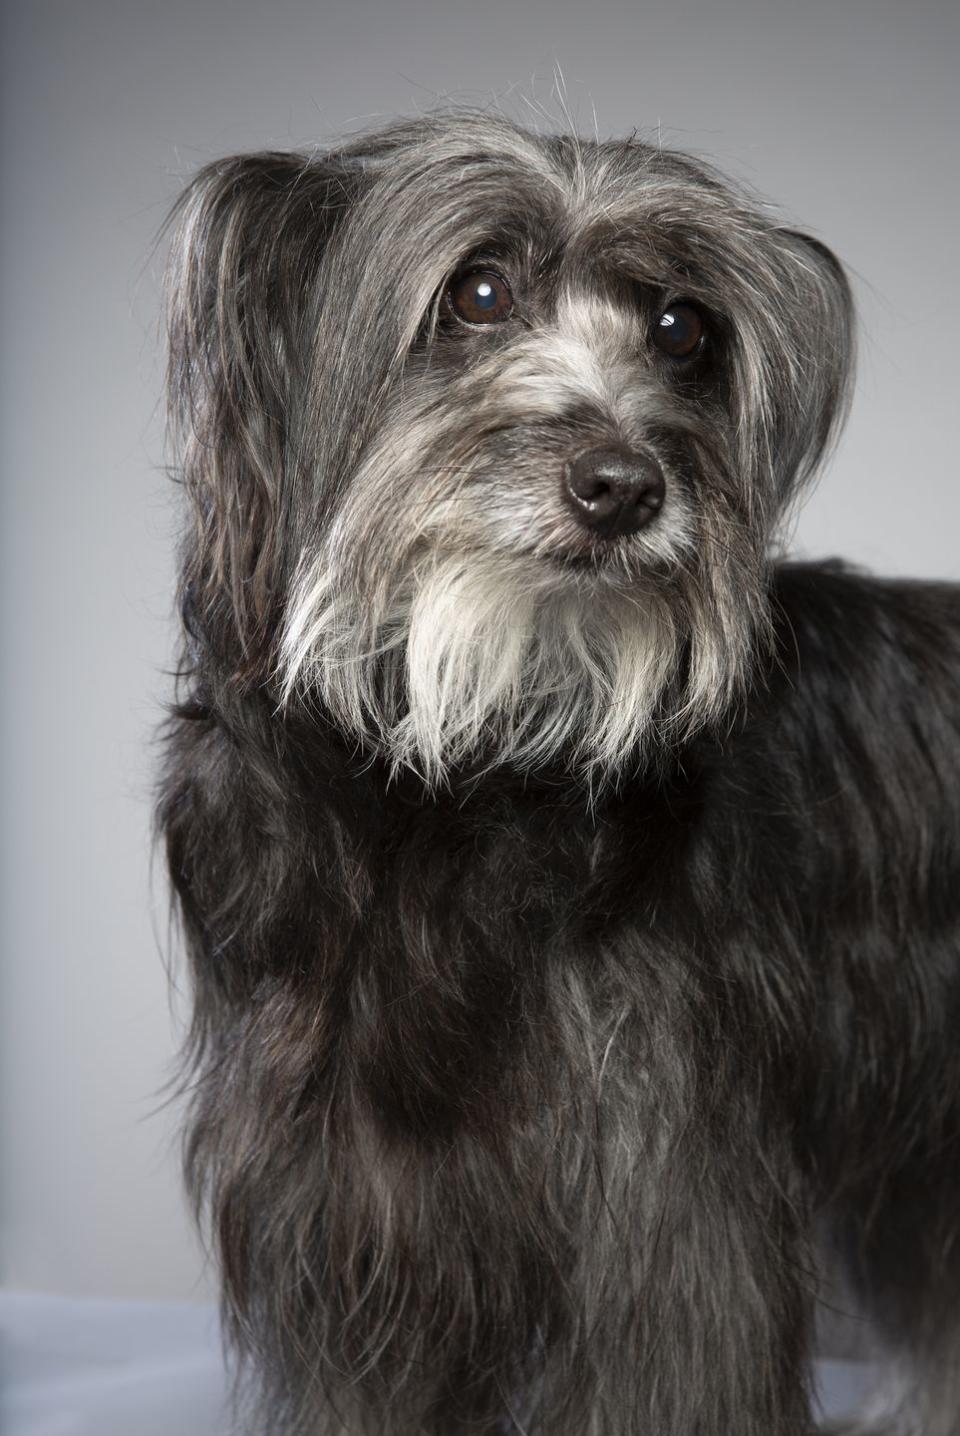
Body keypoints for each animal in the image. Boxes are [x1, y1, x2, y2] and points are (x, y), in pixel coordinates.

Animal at [157, 112, 958, 1436]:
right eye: (478, 290)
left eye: (683, 326)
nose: (625, 485)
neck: (469, 759)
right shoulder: (357, 1210)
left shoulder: (663, 1202)